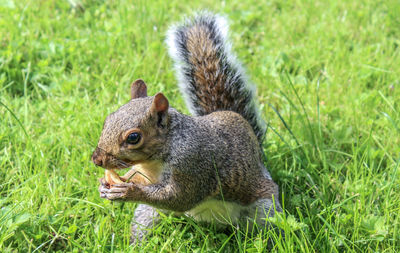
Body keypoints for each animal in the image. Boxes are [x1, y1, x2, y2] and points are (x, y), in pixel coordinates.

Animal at [92, 11, 282, 243]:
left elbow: (180, 197)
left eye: (133, 137)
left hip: (264, 209)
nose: (96, 159)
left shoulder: (194, 165)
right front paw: (104, 187)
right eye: (107, 120)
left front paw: (129, 192)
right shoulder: (144, 173)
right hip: (148, 213)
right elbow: (137, 177)